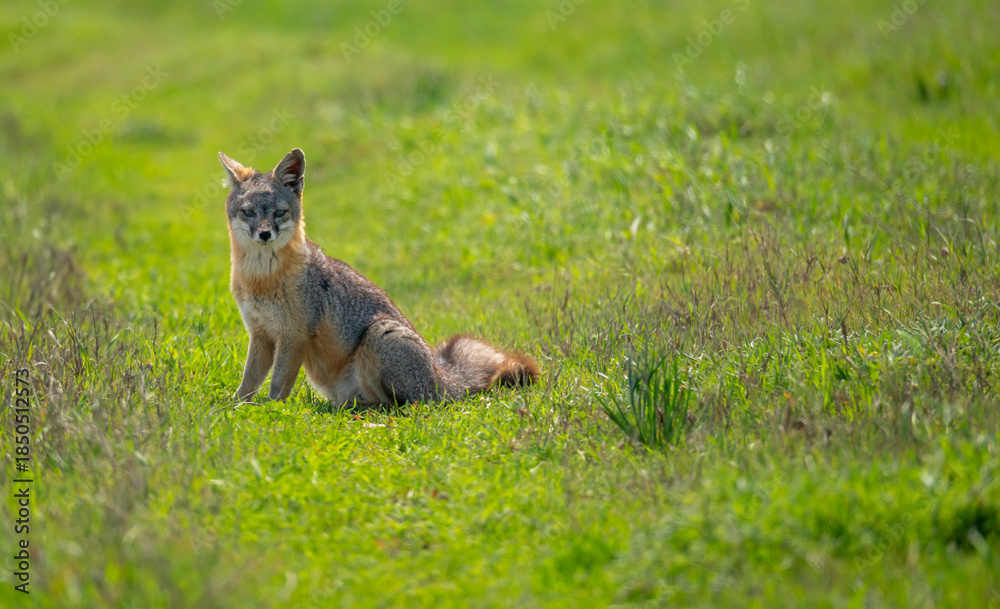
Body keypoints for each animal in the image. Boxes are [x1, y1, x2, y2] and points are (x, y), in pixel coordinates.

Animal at [219, 148, 539, 407]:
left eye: (279, 213)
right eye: (248, 212)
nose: (264, 234)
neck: (261, 279)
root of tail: (440, 379)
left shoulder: (294, 335)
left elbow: (277, 385)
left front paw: (271, 410)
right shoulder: (260, 333)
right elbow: (248, 382)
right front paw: (235, 407)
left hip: (378, 336)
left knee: (406, 404)